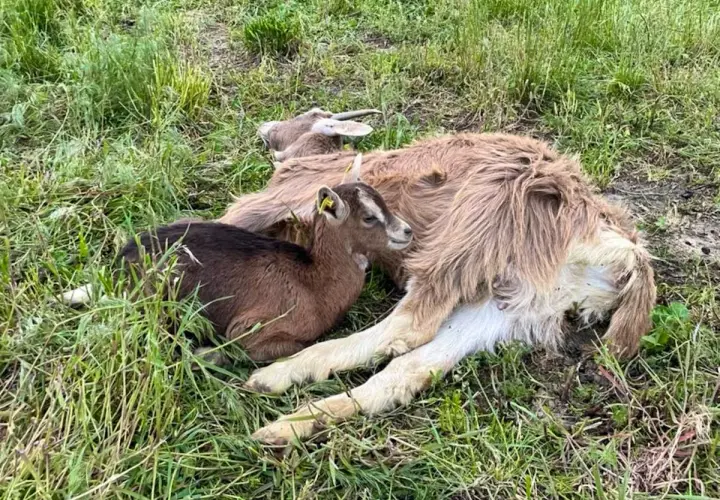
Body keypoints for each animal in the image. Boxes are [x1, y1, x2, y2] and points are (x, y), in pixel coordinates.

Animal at [61, 155, 413, 362]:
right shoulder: (251, 328)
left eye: (383, 201)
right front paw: (205, 353)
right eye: (369, 217)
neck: (313, 284)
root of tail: (120, 264)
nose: (407, 231)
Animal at [217, 109, 657, 446]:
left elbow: (222, 223)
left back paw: (276, 377)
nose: (265, 127)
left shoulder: (280, 196)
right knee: (412, 367)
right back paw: (290, 422)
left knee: (412, 324)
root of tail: (624, 249)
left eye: (308, 115)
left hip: (478, 223)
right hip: (517, 302)